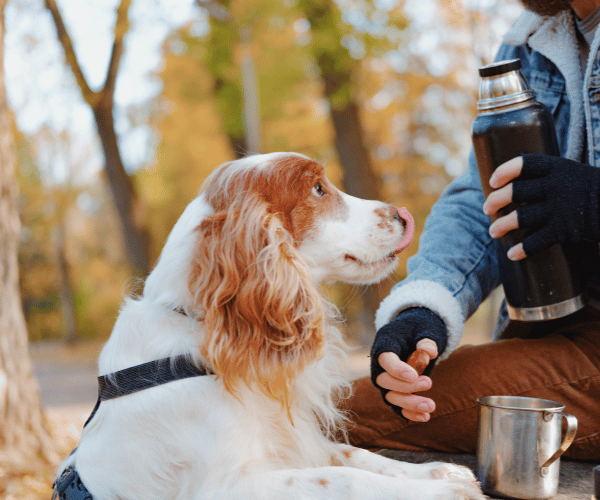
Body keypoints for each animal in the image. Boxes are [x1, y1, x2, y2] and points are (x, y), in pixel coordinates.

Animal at [56, 153, 486, 500]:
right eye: (318, 189)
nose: (402, 215)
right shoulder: (228, 486)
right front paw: (445, 491)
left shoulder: (300, 441)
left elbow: (356, 455)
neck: (202, 331)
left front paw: (439, 472)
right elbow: (343, 479)